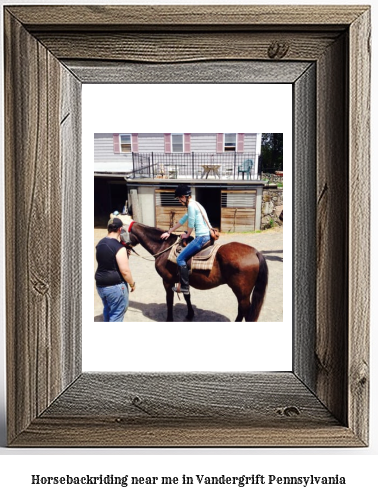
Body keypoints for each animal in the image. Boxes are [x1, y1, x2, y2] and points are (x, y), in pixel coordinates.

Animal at [122, 221, 268, 322]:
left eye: (122, 233)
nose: (124, 249)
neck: (164, 247)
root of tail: (255, 252)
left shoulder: (167, 281)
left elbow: (169, 300)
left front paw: (169, 319)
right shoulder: (183, 281)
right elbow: (187, 297)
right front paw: (190, 314)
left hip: (242, 292)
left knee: (244, 310)